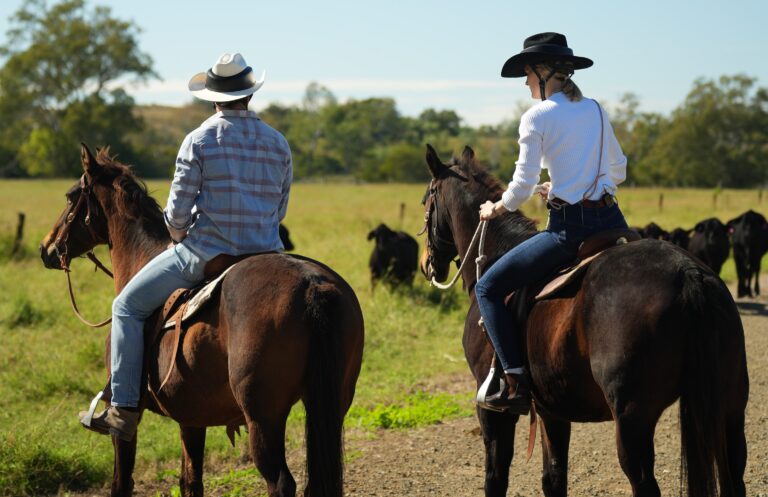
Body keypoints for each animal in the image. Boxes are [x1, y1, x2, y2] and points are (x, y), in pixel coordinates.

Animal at [39, 144, 366, 496]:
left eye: (70, 197)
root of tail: (311, 284)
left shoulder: (129, 419)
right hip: (332, 406)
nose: (46, 248)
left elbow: (121, 481)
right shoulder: (192, 417)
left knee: (280, 482)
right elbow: (190, 481)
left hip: (263, 418)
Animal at [420, 144, 752, 496]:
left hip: (633, 421)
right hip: (729, 409)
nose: (426, 263)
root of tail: (687, 273)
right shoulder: (552, 410)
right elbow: (553, 478)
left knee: (644, 483)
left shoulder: (492, 412)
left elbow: (495, 477)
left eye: (426, 201)